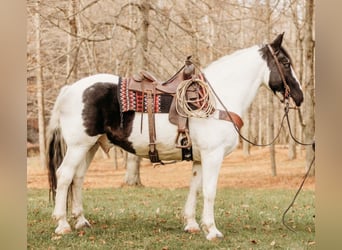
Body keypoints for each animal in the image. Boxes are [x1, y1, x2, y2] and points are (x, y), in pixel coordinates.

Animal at [46, 33, 304, 240]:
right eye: (285, 62)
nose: (299, 96)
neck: (216, 99)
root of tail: (70, 89)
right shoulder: (213, 155)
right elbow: (210, 191)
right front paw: (212, 230)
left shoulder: (199, 158)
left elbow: (195, 188)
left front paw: (192, 224)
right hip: (79, 145)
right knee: (65, 175)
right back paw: (62, 224)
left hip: (90, 146)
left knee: (78, 178)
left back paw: (81, 220)